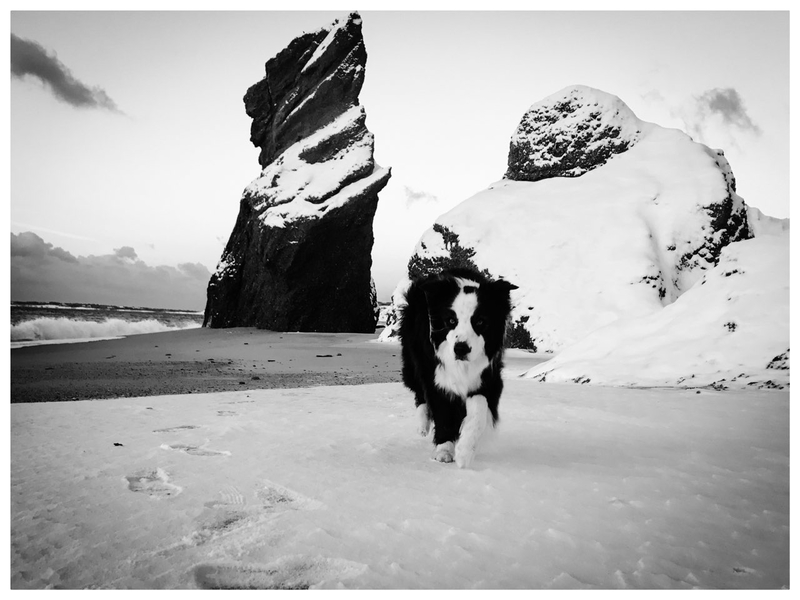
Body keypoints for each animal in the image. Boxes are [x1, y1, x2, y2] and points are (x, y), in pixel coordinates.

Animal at [400, 268, 520, 468]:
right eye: (450, 321)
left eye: (480, 322)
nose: (461, 349)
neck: (462, 366)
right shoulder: (437, 379)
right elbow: (442, 414)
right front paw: (444, 450)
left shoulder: (489, 379)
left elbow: (479, 409)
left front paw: (465, 451)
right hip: (412, 363)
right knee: (419, 393)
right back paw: (423, 425)